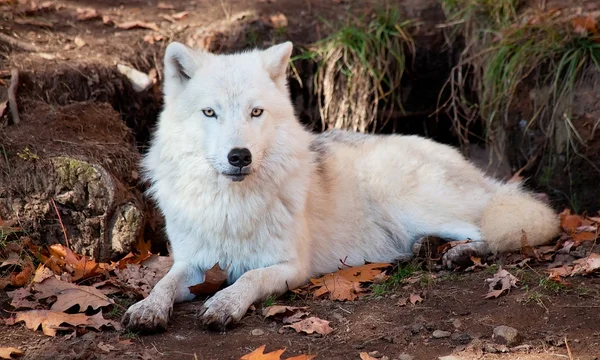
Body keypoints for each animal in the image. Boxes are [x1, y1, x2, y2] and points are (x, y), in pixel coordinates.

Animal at [119, 40, 560, 330]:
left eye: (256, 112)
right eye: (209, 112)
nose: (239, 156)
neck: (231, 207)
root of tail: (474, 168)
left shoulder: (290, 266)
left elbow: (248, 278)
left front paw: (224, 303)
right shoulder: (191, 261)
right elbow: (163, 283)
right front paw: (148, 309)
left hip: (408, 199)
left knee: (497, 228)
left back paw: (460, 254)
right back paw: (427, 249)